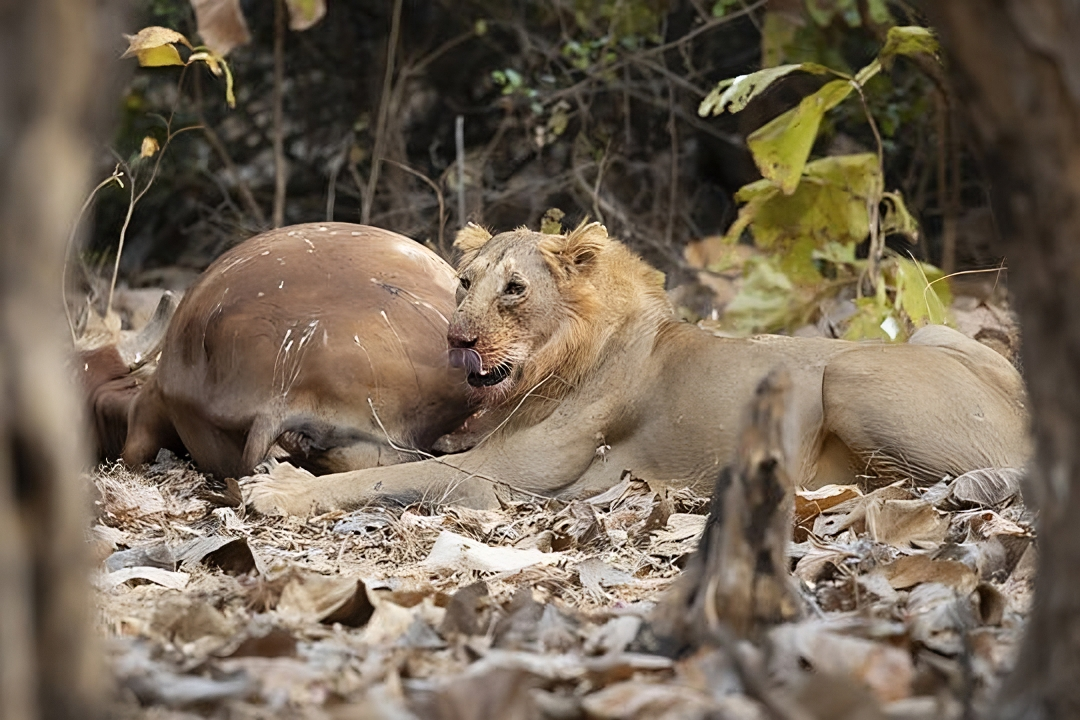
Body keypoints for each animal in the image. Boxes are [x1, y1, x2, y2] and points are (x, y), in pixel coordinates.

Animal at [245, 222, 1028, 515]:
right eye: (464, 282)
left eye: (514, 289)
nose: (457, 338)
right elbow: (385, 460)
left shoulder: (506, 478)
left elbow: (387, 477)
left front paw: (279, 490)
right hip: (934, 329)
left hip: (850, 375)